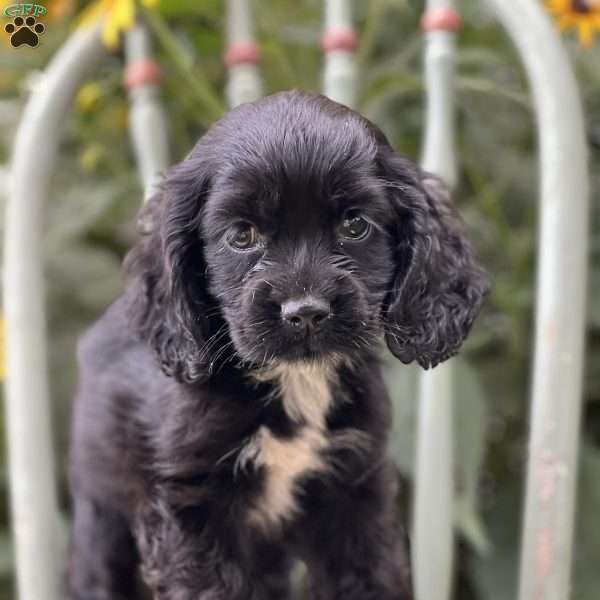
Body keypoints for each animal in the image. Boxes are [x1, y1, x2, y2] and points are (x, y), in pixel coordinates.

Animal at [68, 90, 488, 600]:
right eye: (242, 235)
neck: (294, 381)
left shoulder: (355, 492)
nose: (305, 312)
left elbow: (371, 579)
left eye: (355, 225)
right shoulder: (191, 509)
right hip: (101, 511)